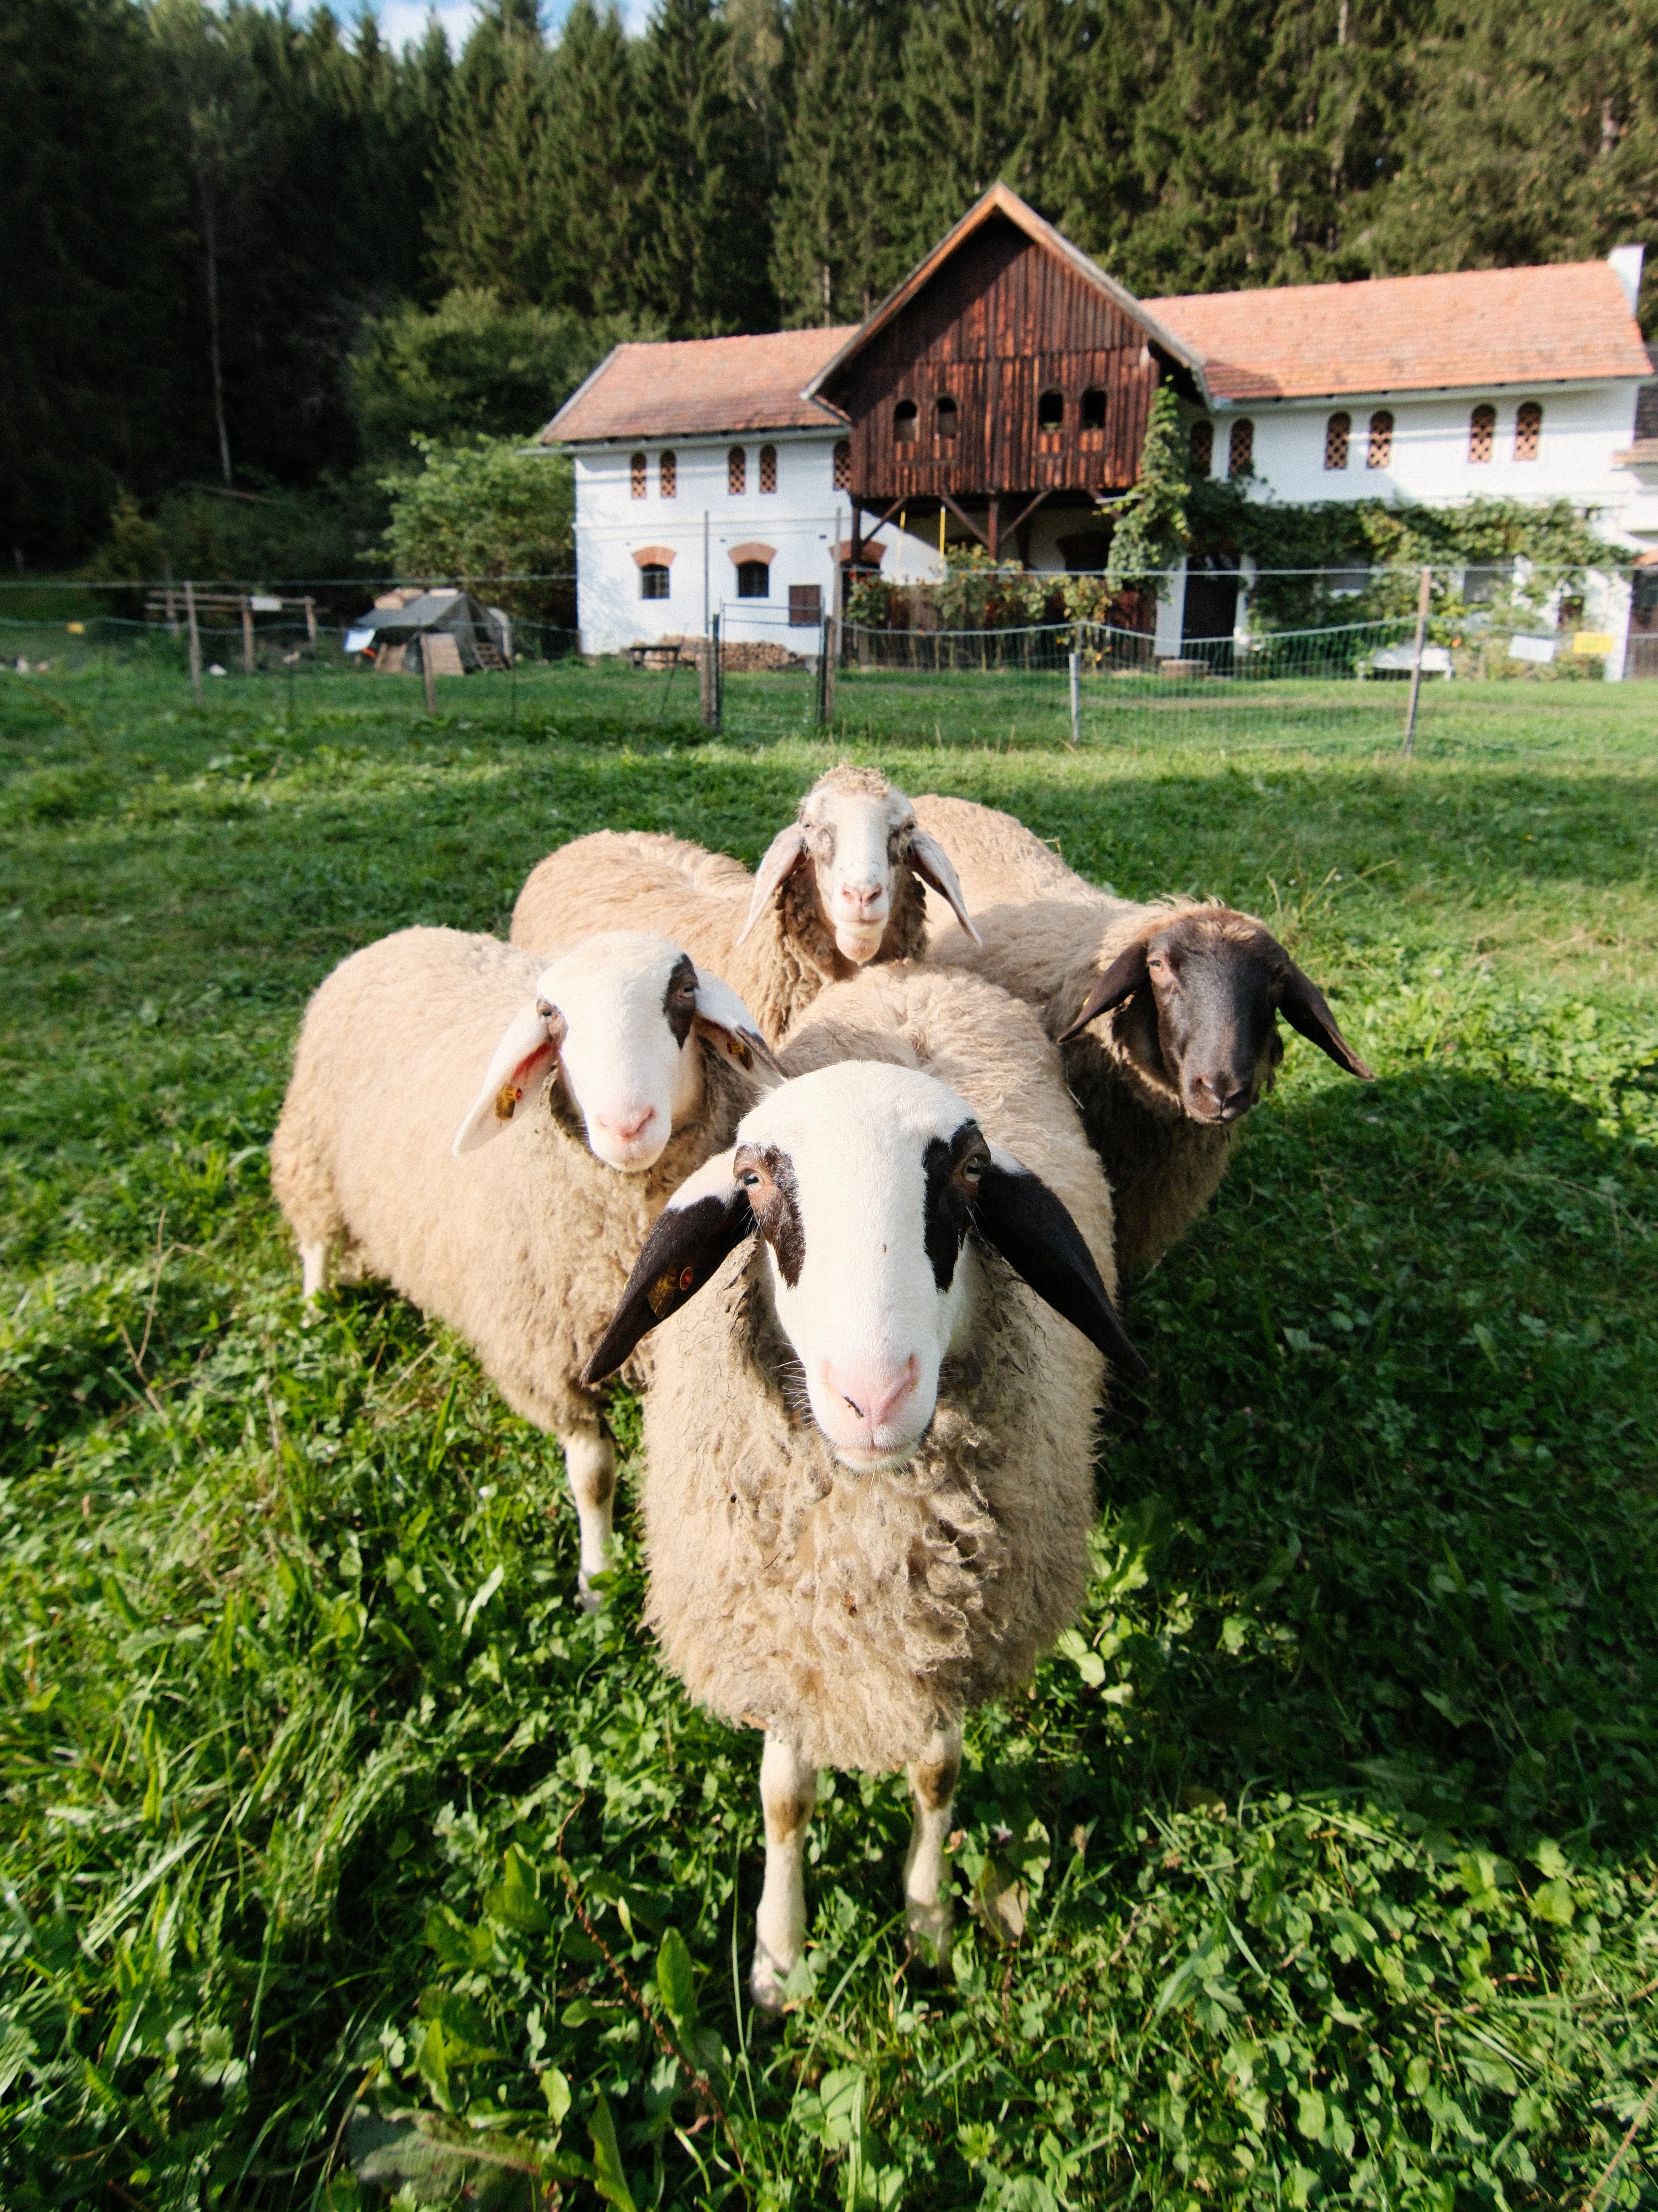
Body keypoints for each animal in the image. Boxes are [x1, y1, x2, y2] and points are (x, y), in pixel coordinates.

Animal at [269, 927, 778, 1608]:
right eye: (551, 1016)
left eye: (684, 991)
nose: (626, 1126)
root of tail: (397, 937)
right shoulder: (546, 1363)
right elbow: (593, 1477)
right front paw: (598, 1578)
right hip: (311, 1150)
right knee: (315, 1239)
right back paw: (313, 1306)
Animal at [580, 963, 1145, 2009]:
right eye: (754, 1181)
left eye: (967, 1171)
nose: (873, 1394)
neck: (866, 1555)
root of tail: (919, 975)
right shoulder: (785, 1642)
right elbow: (784, 1798)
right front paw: (777, 1959)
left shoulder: (947, 1642)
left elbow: (935, 1777)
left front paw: (928, 1924)